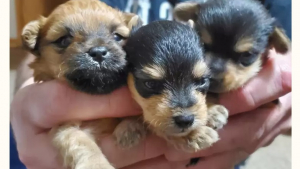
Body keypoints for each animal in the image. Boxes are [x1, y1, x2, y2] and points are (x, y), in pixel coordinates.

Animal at [21, 0, 141, 169]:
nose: (98, 52)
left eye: (117, 37)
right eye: (64, 40)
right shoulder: (62, 126)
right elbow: (78, 140)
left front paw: (130, 128)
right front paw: (97, 164)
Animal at [113, 20, 229, 153]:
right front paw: (197, 135)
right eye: (151, 84)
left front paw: (212, 110)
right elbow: (162, 128)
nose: (185, 120)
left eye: (201, 81)